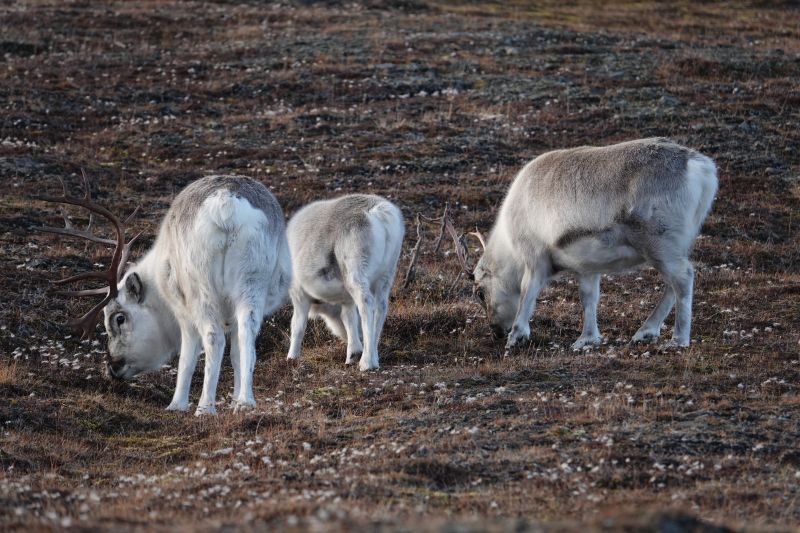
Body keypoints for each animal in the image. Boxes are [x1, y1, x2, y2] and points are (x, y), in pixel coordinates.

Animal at [36, 175, 292, 415]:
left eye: (119, 318)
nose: (112, 368)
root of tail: (226, 203)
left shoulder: (182, 310)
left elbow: (187, 357)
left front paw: (177, 404)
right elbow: (238, 355)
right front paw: (237, 401)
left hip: (200, 287)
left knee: (213, 337)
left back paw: (205, 407)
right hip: (251, 283)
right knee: (248, 333)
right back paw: (247, 403)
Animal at [285, 194, 404, 371]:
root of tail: (378, 213)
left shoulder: (299, 295)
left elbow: (297, 326)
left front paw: (291, 357)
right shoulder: (346, 300)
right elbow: (349, 319)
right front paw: (352, 353)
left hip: (356, 273)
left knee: (366, 304)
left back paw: (366, 362)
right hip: (386, 275)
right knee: (381, 307)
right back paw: (373, 357)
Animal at [455, 138, 717, 353]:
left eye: (480, 292)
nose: (496, 331)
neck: (509, 247)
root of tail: (702, 167)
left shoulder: (535, 259)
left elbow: (527, 294)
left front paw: (517, 335)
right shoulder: (587, 267)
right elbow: (588, 298)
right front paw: (586, 339)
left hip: (659, 243)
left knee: (683, 278)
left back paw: (678, 339)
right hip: (673, 245)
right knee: (673, 284)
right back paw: (645, 331)